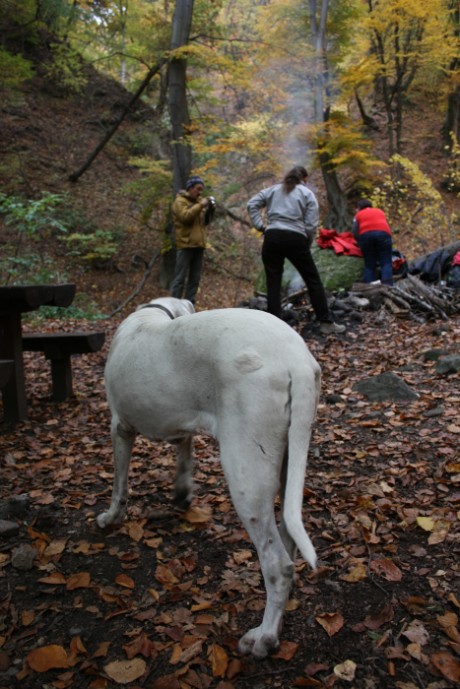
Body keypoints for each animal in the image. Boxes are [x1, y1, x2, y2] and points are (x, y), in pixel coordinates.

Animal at [97, 294, 320, 656]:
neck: (154, 314)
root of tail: (295, 359)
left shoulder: (120, 428)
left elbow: (120, 484)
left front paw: (111, 517)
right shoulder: (181, 425)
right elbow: (184, 453)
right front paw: (182, 493)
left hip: (246, 477)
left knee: (277, 565)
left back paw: (264, 637)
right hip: (289, 457)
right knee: (288, 538)